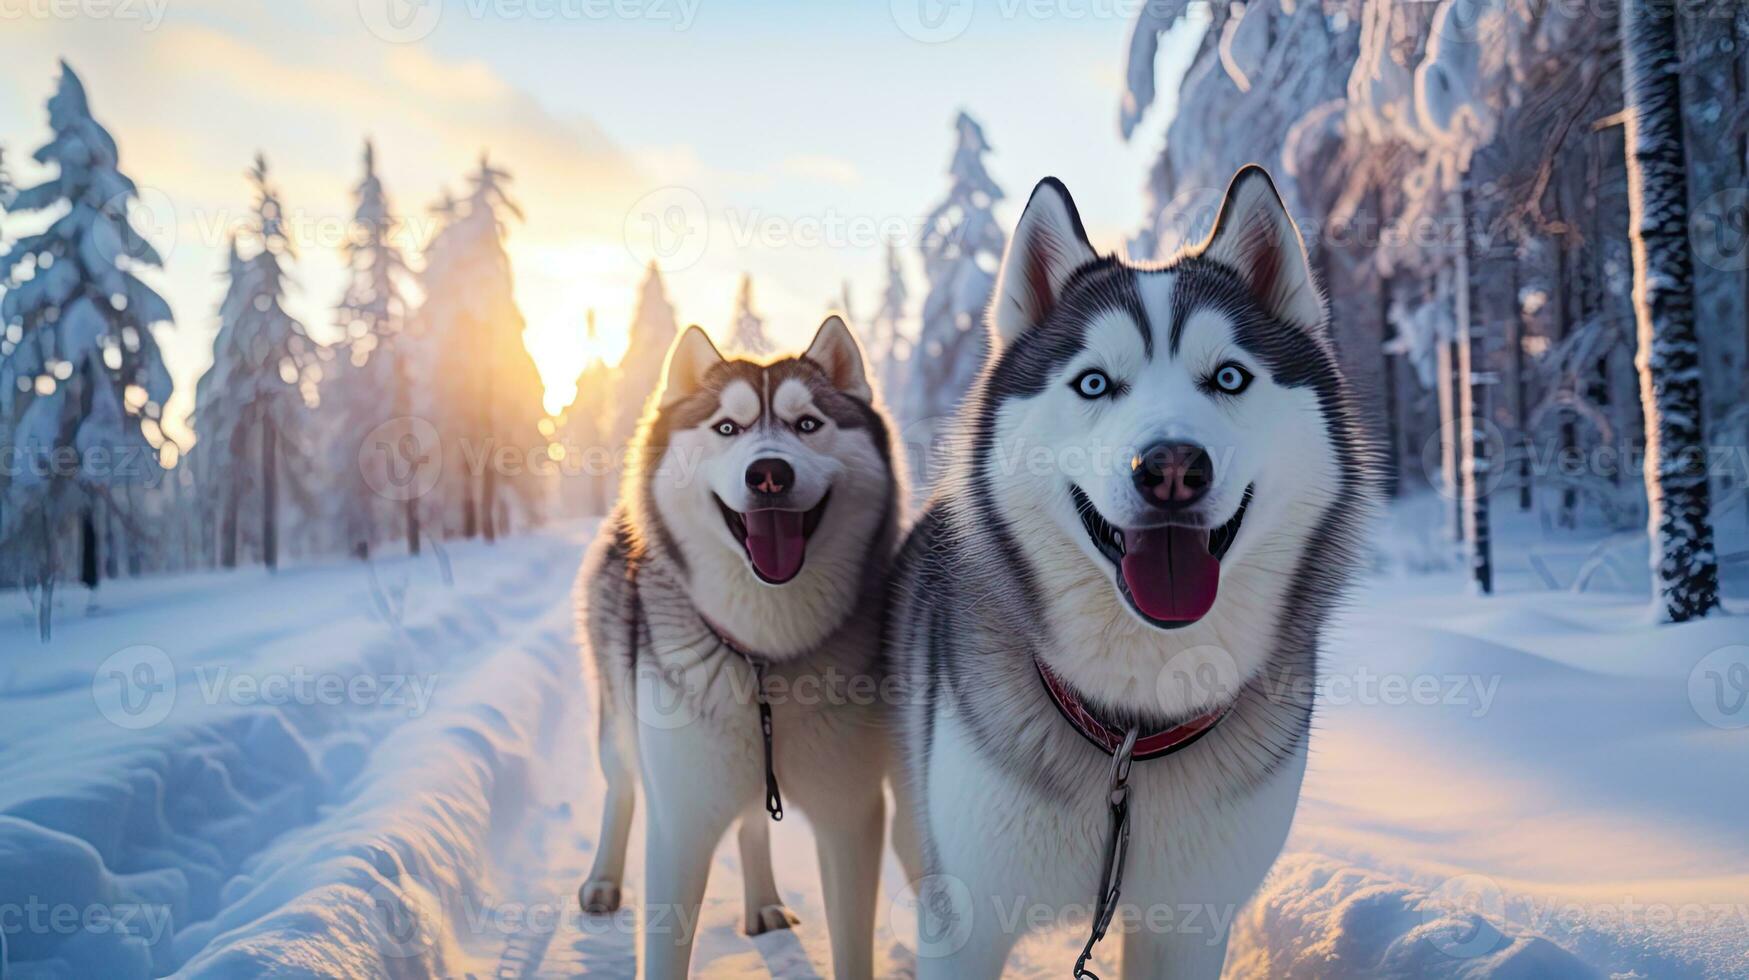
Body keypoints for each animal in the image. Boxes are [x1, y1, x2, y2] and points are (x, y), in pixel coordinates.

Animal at [573, 315, 902, 980]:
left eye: (808, 424)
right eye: (727, 427)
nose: (768, 473)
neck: (760, 651)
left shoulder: (850, 817)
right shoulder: (680, 822)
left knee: (752, 818)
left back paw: (764, 902)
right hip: (617, 720)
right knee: (622, 786)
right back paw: (603, 881)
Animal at [895, 168, 1371, 980]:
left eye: (1229, 377)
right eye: (1093, 384)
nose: (1171, 468)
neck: (1131, 728)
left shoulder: (1189, 926)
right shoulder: (963, 923)